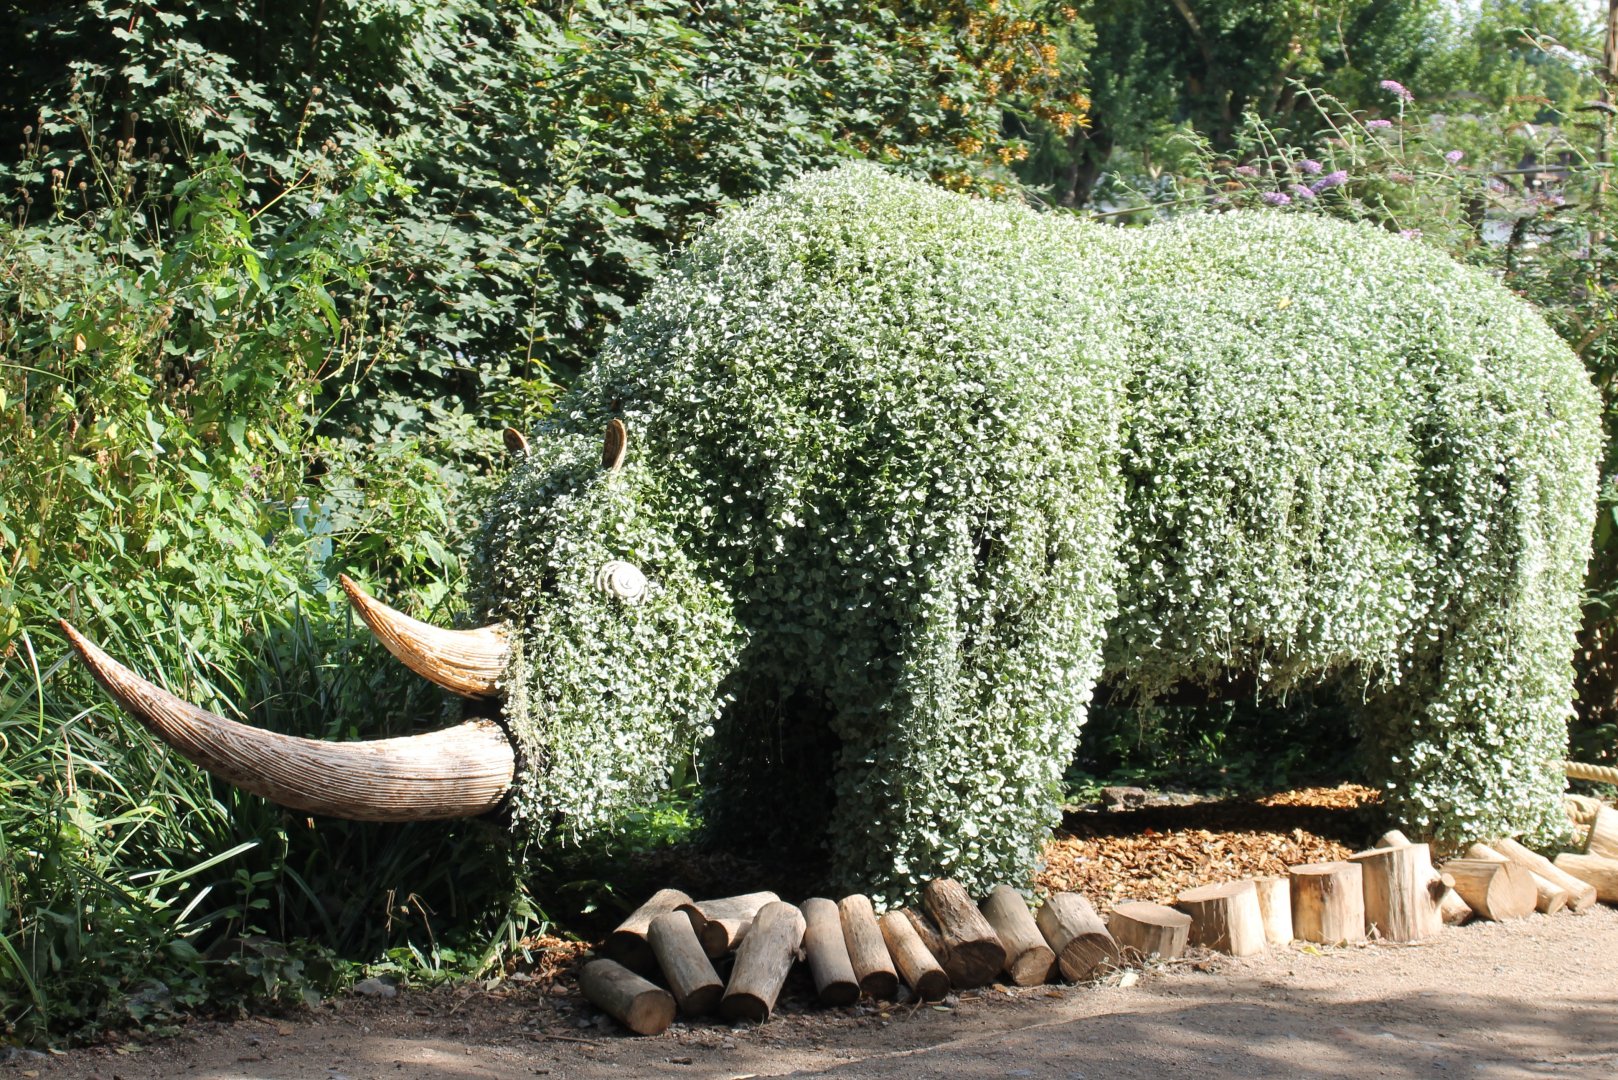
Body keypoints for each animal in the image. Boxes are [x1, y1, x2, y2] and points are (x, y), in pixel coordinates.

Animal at [65, 166, 1600, 903]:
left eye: (618, 594)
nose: (516, 807)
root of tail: (1544, 338)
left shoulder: (1000, 548)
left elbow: (960, 732)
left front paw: (913, 891)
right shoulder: (780, 605)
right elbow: (771, 718)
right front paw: (757, 857)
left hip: (1526, 444)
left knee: (1496, 635)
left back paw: (1471, 831)